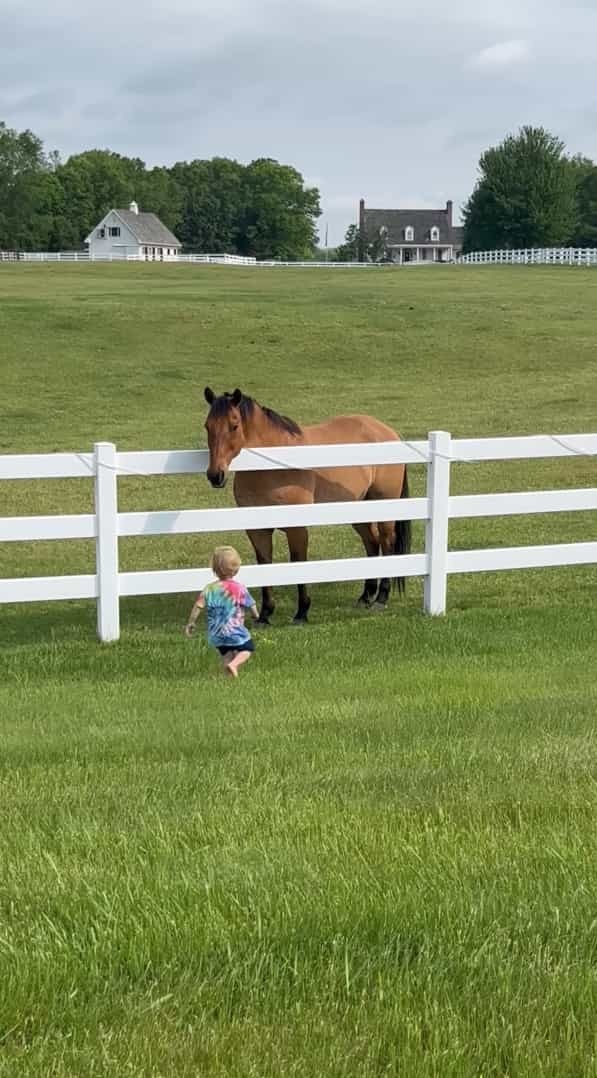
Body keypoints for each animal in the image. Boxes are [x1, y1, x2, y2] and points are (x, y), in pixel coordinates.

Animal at [203, 385, 409, 625]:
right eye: (207, 426)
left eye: (234, 425)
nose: (215, 475)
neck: (272, 467)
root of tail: (387, 432)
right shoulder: (258, 530)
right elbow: (265, 565)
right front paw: (265, 615)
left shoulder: (297, 529)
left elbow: (298, 564)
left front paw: (302, 612)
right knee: (372, 543)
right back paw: (366, 596)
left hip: (384, 507)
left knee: (386, 543)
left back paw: (381, 598)